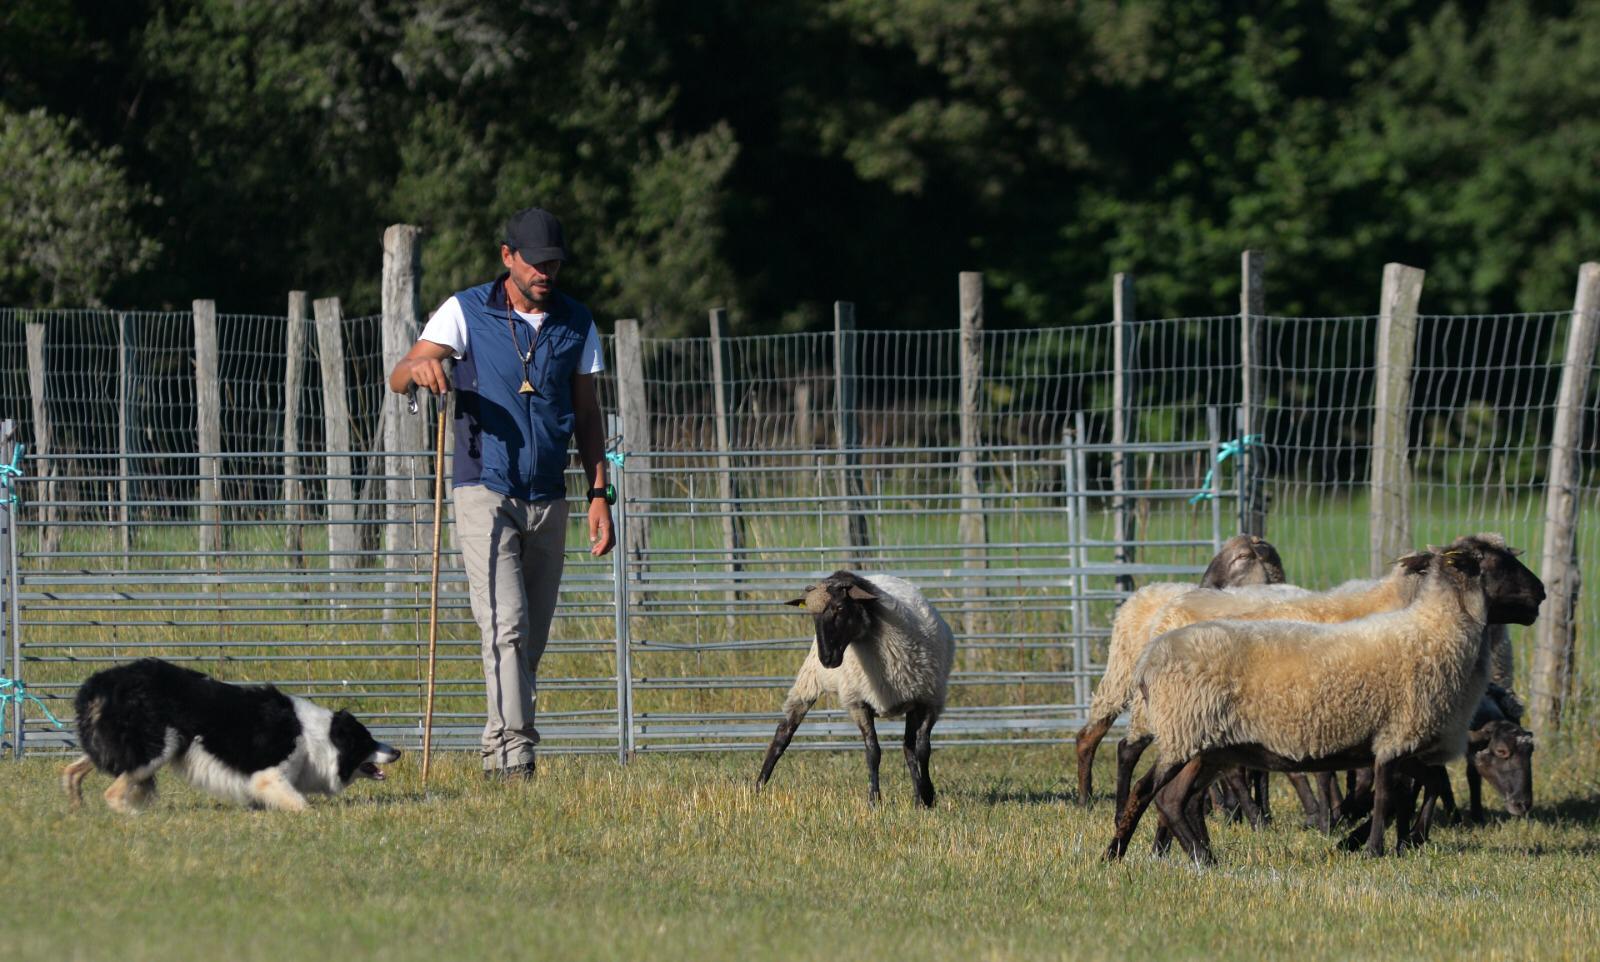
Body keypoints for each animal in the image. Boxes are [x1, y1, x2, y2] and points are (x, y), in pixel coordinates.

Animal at [64, 653, 400, 809]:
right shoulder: (269, 776)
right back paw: (132, 816)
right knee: (111, 791)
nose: (397, 751)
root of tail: (101, 683)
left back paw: (77, 807)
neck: (319, 737)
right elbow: (302, 805)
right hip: (161, 745)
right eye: (367, 740)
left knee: (70, 769)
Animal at [755, 566, 953, 806]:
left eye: (840, 608)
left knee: (909, 747)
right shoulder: (859, 703)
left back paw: (918, 797)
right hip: (809, 680)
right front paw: (874, 800)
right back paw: (758, 787)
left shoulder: (929, 700)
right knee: (783, 732)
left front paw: (926, 796)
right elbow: (873, 752)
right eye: (812, 615)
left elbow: (923, 749)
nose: (827, 659)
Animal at [1107, 541, 1542, 864]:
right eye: (1500, 563)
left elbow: (1419, 787)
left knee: (1178, 798)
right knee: (1154, 792)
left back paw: (1178, 855)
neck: (1434, 630)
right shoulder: (1397, 734)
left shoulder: (1406, 740)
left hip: (1206, 747)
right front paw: (1372, 847)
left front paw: (1402, 841)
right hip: (1186, 735)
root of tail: (1149, 657)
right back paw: (1146, 854)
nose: (1541, 593)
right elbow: (1388, 795)